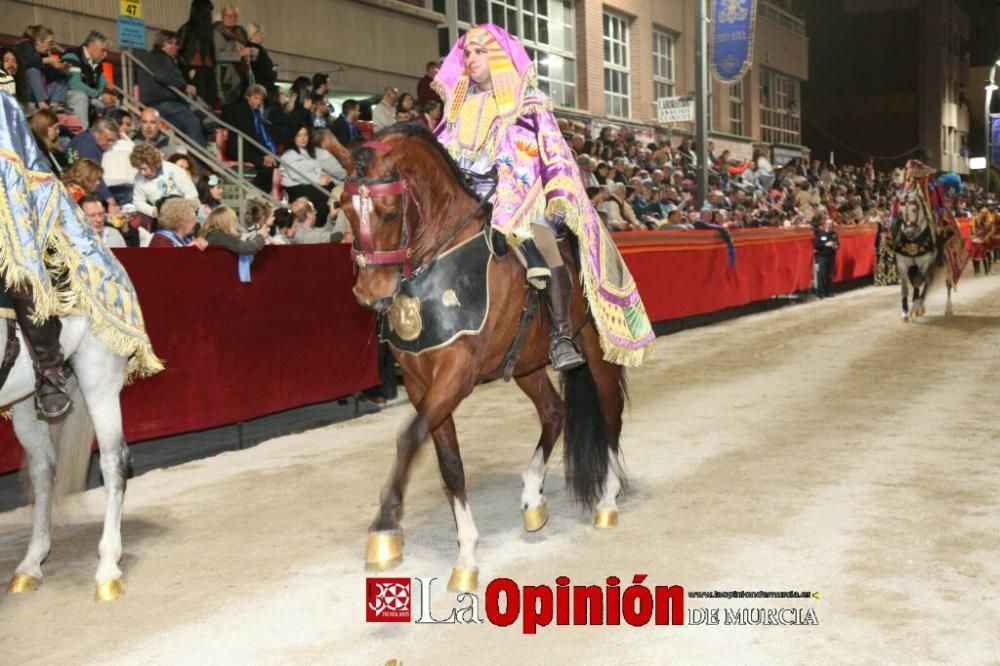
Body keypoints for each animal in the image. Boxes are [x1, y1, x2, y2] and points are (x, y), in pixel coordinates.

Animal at [340, 124, 628, 592]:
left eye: (387, 212)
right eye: (345, 208)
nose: (370, 294)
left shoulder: (457, 373)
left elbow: (409, 438)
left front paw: (385, 528)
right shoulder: (420, 382)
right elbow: (446, 462)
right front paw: (463, 553)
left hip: (598, 354)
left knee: (610, 416)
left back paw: (607, 501)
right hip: (526, 364)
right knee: (554, 411)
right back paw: (532, 499)